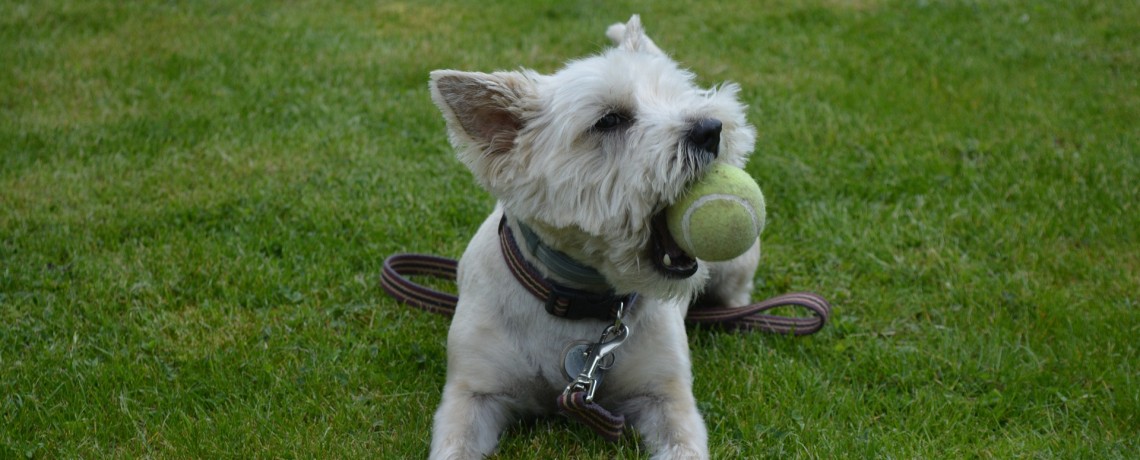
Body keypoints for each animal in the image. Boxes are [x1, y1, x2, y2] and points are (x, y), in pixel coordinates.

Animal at [426, 15, 756, 459]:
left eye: (678, 96)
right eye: (609, 120)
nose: (710, 128)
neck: (578, 299)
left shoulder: (665, 395)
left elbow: (682, 444)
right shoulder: (472, 393)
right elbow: (455, 444)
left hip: (736, 267)